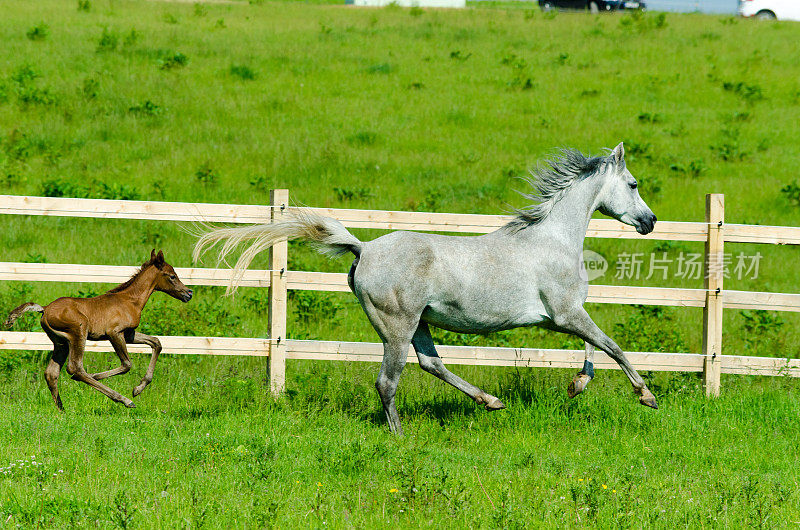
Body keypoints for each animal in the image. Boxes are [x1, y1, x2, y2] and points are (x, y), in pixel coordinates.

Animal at [3, 249, 192, 408]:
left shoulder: (129, 334)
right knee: (75, 368)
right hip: (79, 332)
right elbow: (127, 364)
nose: (188, 293)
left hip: (60, 343)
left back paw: (61, 409)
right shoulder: (114, 333)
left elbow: (156, 342)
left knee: (51, 373)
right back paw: (123, 399)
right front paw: (103, 379)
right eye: (172, 276)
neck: (131, 300)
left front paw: (138, 388)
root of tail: (45, 308)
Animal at [194, 141, 656, 434]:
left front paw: (576, 386)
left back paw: (490, 401)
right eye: (634, 184)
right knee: (388, 382)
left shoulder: (563, 317)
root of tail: (363, 248)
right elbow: (613, 346)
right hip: (397, 327)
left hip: (420, 323)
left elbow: (594, 349)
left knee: (431, 363)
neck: (552, 239)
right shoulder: (564, 313)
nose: (649, 222)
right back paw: (400, 437)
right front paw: (646, 396)